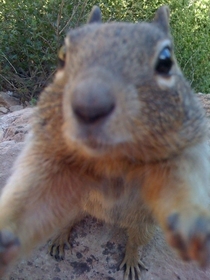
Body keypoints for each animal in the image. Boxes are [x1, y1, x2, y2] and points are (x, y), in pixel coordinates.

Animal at [0, 4, 210, 280]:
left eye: (166, 61)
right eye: (63, 55)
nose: (89, 106)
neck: (112, 157)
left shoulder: (183, 148)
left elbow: (180, 182)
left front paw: (191, 222)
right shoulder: (49, 154)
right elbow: (32, 197)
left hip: (145, 225)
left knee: (134, 241)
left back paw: (131, 260)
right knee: (66, 222)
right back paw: (59, 239)